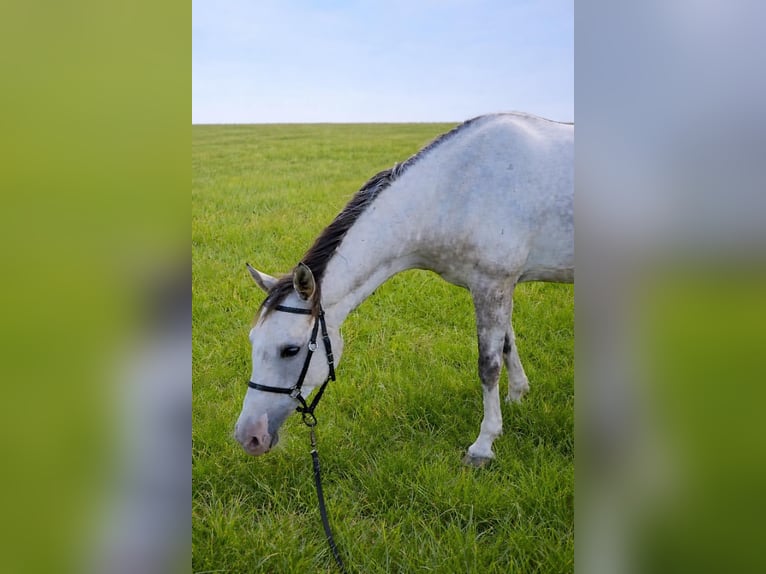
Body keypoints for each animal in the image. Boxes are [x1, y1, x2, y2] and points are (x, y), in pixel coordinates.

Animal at [234, 112, 573, 466]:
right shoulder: (499, 286)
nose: (249, 437)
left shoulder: (491, 284)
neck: (456, 190)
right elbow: (507, 344)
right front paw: (518, 395)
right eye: (253, 341)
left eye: (290, 350)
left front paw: (484, 444)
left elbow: (489, 365)